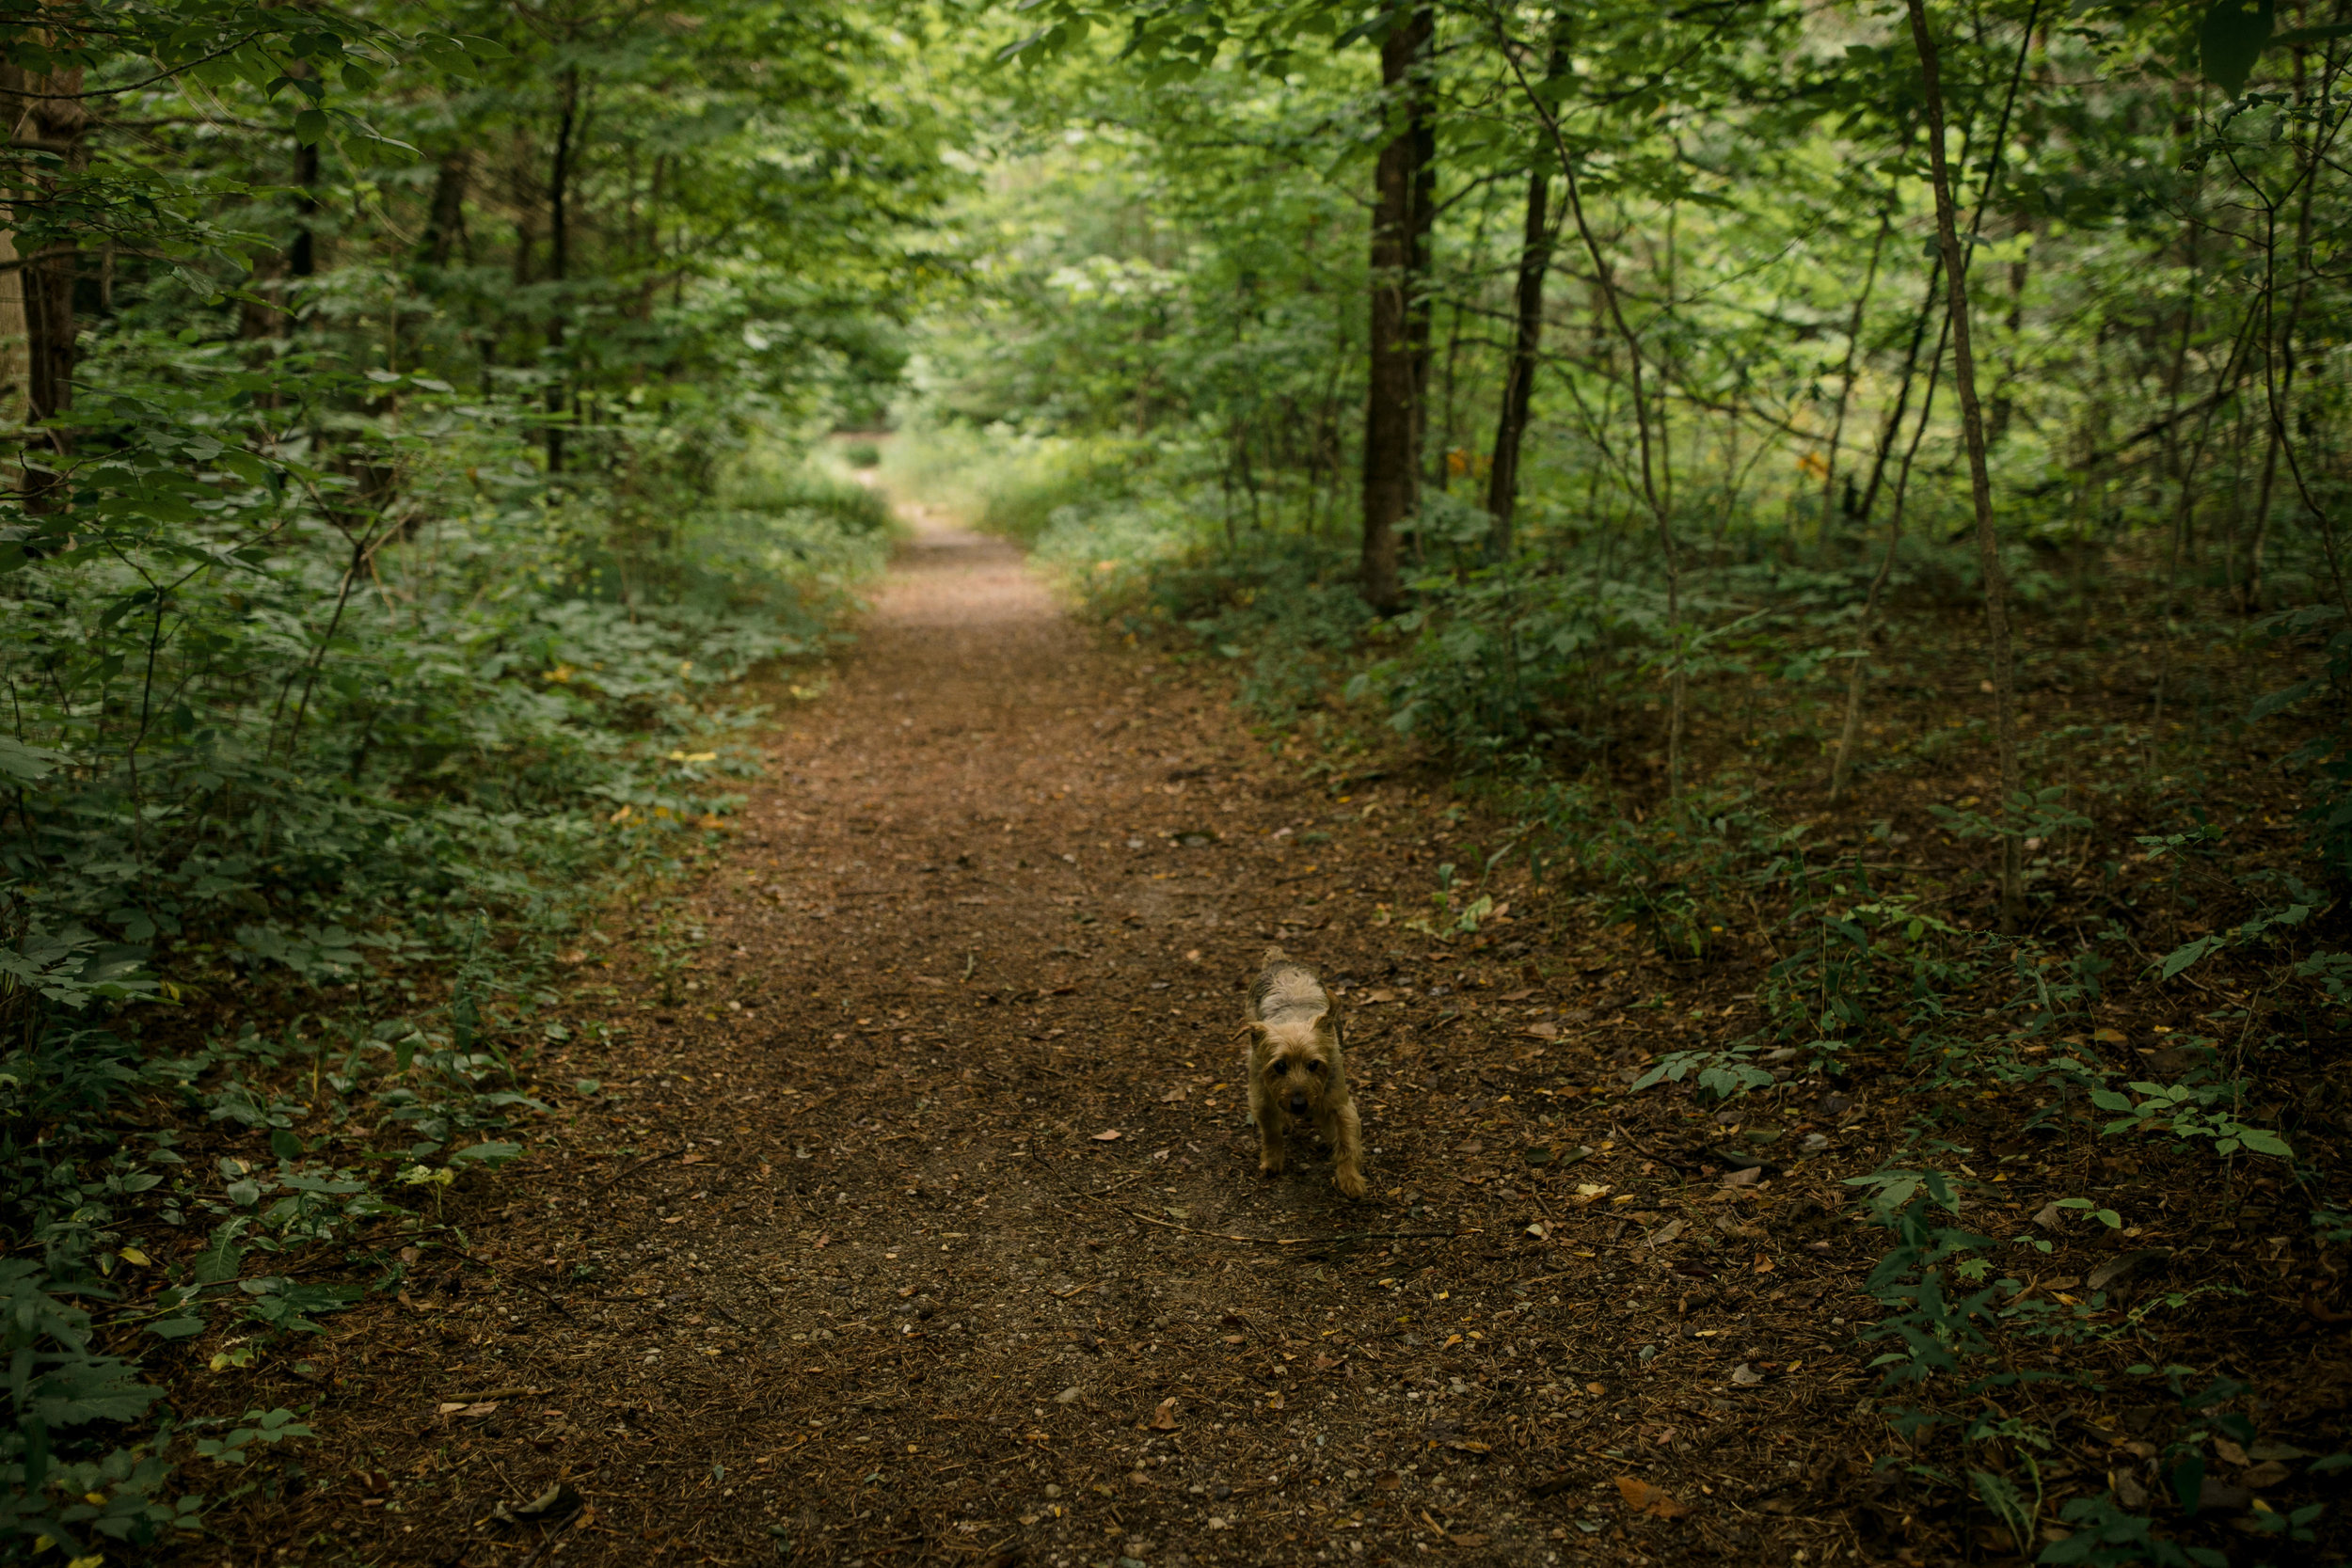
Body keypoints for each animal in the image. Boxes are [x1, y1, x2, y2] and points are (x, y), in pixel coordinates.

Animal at [1242, 949, 1374, 1194]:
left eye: (1314, 1065)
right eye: (1279, 1066)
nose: (1299, 1104)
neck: (1295, 1018)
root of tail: (1279, 960)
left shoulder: (1339, 1103)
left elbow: (1347, 1142)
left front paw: (1350, 1180)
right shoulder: (1261, 1098)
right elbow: (1271, 1133)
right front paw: (1272, 1162)